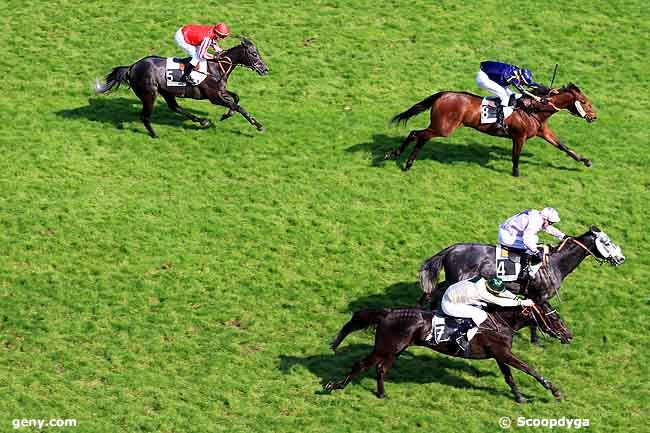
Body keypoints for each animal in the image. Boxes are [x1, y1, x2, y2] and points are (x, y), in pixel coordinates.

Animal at [93, 38, 266, 138]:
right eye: (253, 54)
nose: (265, 69)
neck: (216, 67)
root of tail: (132, 67)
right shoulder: (214, 97)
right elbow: (239, 107)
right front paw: (258, 125)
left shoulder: (220, 92)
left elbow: (236, 98)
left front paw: (226, 114)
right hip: (149, 94)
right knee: (145, 116)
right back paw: (155, 135)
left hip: (167, 92)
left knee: (174, 107)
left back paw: (202, 121)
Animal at [326, 300, 568, 402]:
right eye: (555, 318)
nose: (569, 335)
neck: (501, 322)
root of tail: (388, 312)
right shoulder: (502, 352)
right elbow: (529, 369)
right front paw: (555, 391)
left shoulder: (499, 354)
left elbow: (509, 376)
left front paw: (519, 396)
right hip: (387, 347)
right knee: (362, 365)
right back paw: (335, 385)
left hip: (396, 350)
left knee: (381, 369)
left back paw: (382, 393)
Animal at [388, 84, 596, 176]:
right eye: (584, 102)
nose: (594, 116)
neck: (535, 108)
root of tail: (444, 94)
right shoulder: (519, 137)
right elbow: (515, 156)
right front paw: (516, 173)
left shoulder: (543, 132)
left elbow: (564, 147)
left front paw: (586, 161)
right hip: (444, 128)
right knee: (418, 134)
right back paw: (400, 158)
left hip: (440, 127)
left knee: (419, 135)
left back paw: (401, 158)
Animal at [416, 228, 624, 342]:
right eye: (606, 242)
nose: (621, 258)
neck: (556, 264)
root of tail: (452, 249)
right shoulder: (539, 296)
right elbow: (539, 318)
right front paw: (537, 340)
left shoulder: (531, 296)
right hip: (457, 280)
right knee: (438, 293)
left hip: (453, 279)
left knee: (433, 291)